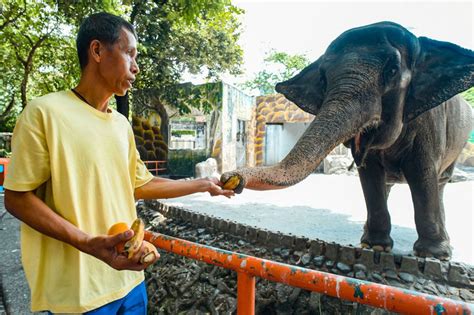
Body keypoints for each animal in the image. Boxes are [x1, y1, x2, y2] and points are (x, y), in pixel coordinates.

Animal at [223, 21, 474, 260]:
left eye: (392, 70)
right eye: (323, 78)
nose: (230, 176)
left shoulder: (429, 123)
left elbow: (423, 175)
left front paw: (432, 255)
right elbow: (370, 176)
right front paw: (375, 246)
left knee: (440, 182)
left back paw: (443, 245)